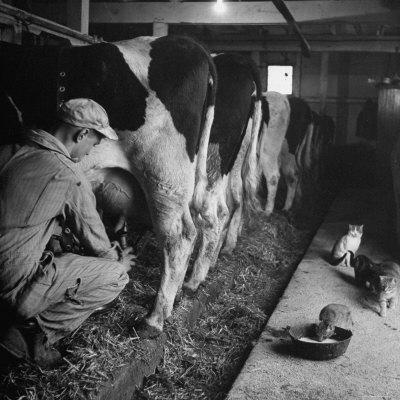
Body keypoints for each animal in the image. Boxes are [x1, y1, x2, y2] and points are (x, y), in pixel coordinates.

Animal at [0, 35, 217, 338]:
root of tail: (189, 42)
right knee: (209, 216)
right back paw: (191, 285)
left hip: (163, 175)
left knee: (179, 235)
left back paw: (154, 319)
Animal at [184, 53, 264, 290]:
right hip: (233, 158)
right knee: (235, 201)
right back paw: (223, 251)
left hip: (212, 153)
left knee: (213, 211)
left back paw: (194, 279)